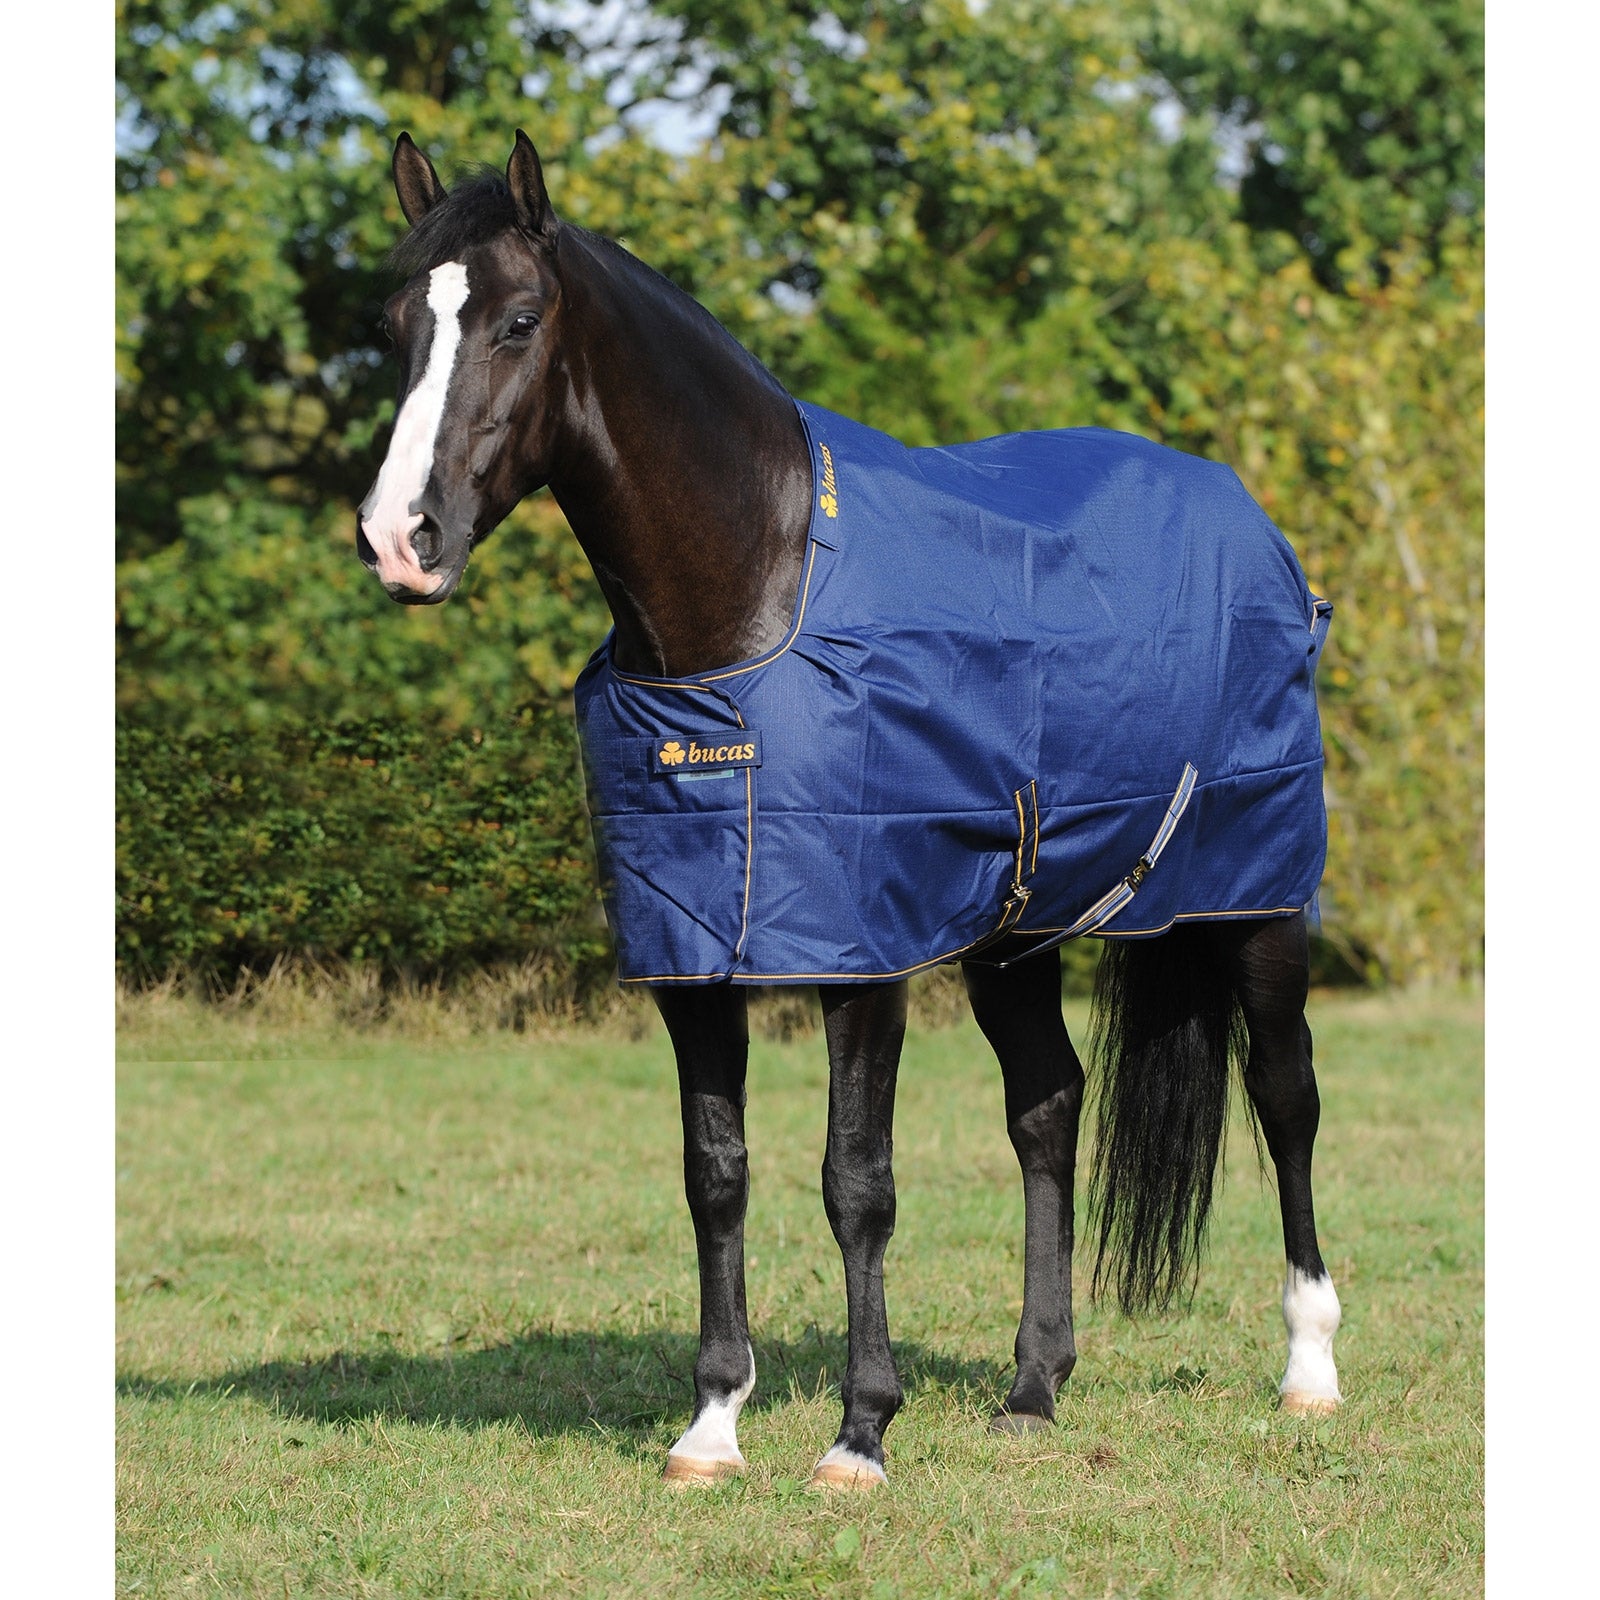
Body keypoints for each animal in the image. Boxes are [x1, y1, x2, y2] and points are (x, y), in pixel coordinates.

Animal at [356, 131, 1343, 1491]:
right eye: (395, 323)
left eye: (515, 319)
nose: (400, 539)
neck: (754, 594)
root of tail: (1251, 525)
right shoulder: (692, 954)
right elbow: (714, 1174)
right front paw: (713, 1424)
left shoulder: (860, 956)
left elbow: (854, 1180)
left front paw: (858, 1433)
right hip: (1016, 932)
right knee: (1049, 1108)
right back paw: (1033, 1386)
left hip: (1256, 900)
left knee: (1285, 1096)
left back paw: (1309, 1370)